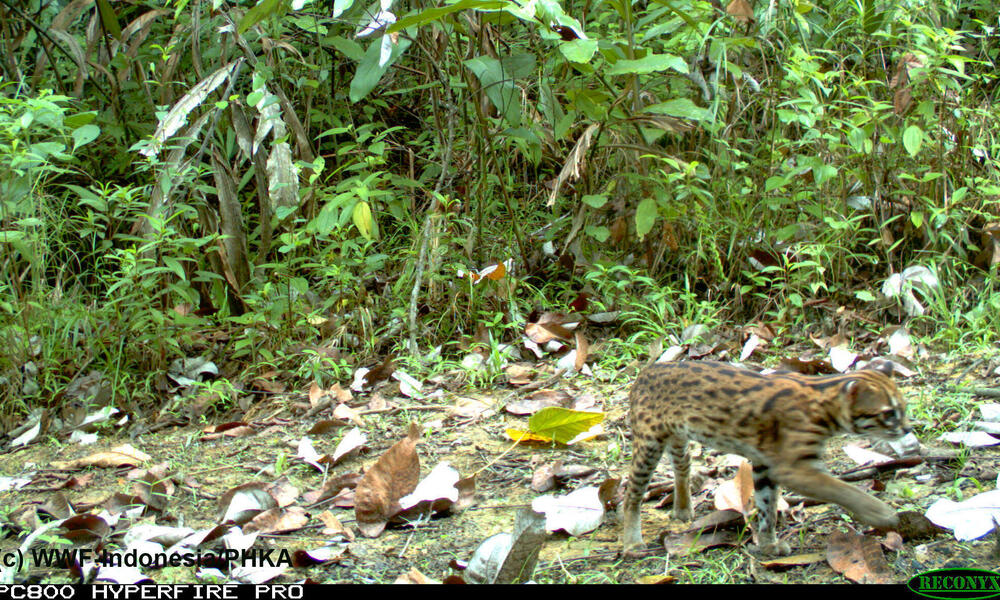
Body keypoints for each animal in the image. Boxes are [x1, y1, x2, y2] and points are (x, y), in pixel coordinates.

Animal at [624, 358, 916, 556]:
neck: (823, 397)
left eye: (903, 407)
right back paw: (632, 541)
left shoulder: (767, 464)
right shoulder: (793, 468)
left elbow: (767, 506)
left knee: (681, 466)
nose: (907, 429)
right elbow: (843, 489)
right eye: (889, 413)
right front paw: (880, 513)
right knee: (631, 493)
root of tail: (646, 371)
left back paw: (683, 508)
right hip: (648, 444)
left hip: (678, 437)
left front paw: (767, 544)